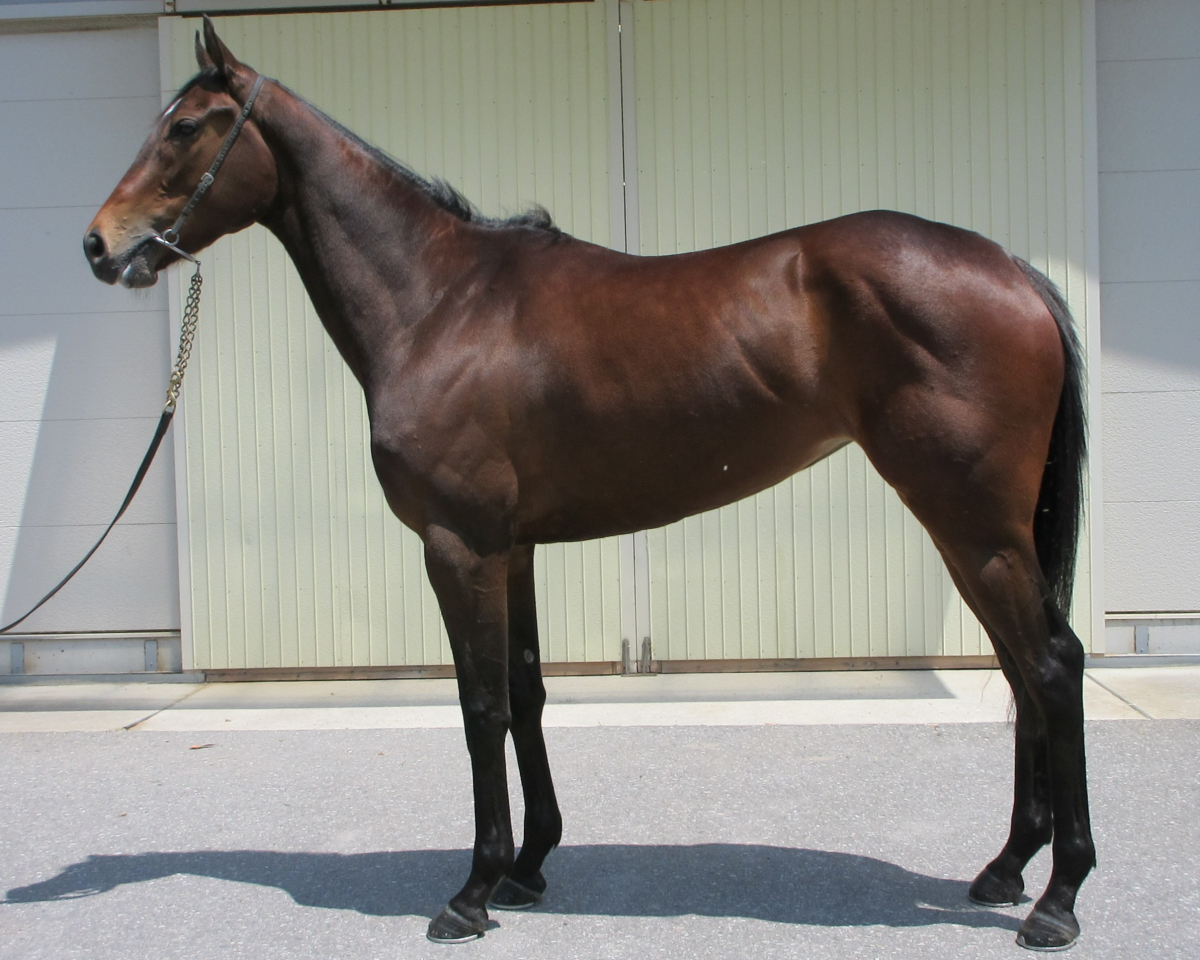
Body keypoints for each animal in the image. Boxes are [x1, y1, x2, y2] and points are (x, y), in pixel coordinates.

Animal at [85, 18, 1092, 951]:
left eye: (185, 128)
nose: (98, 246)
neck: (440, 302)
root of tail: (1012, 269)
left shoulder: (458, 546)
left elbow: (480, 705)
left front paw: (473, 890)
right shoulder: (513, 547)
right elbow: (527, 691)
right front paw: (529, 866)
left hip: (971, 524)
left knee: (1051, 665)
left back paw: (1058, 899)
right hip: (978, 533)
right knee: (1021, 670)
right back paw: (1007, 867)